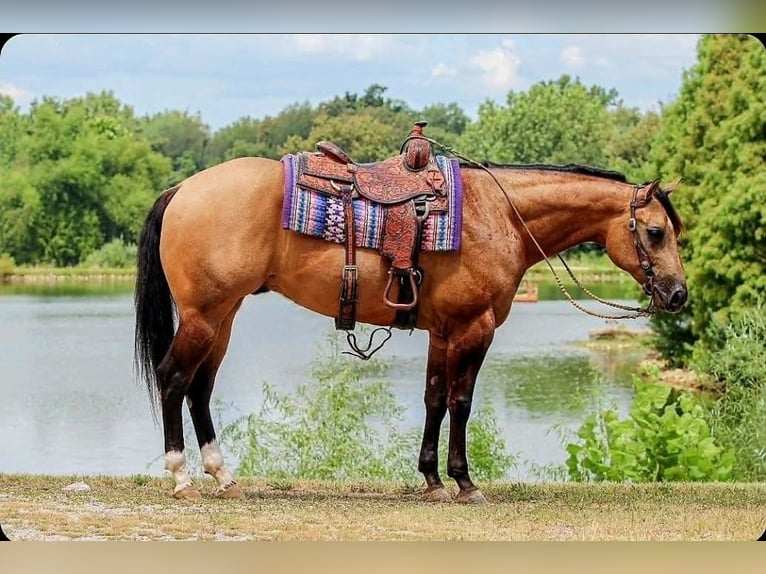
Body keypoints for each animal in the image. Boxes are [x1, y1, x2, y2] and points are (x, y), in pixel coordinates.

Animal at [133, 142, 687, 503]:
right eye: (656, 233)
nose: (678, 294)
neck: (500, 216)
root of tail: (182, 188)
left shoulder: (442, 333)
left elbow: (434, 399)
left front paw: (432, 480)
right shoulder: (474, 329)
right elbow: (461, 403)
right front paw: (464, 482)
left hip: (222, 318)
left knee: (199, 389)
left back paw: (221, 475)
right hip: (204, 317)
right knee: (173, 380)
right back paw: (181, 477)